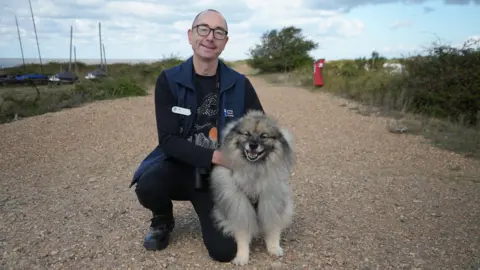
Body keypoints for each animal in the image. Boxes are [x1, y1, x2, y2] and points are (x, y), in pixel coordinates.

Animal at [211, 109, 296, 266]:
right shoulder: (238, 205)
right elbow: (242, 233)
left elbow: (273, 226)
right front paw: (242, 256)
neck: (254, 169)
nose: (253, 145)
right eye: (247, 134)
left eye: (264, 136)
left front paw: (274, 247)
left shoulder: (271, 199)